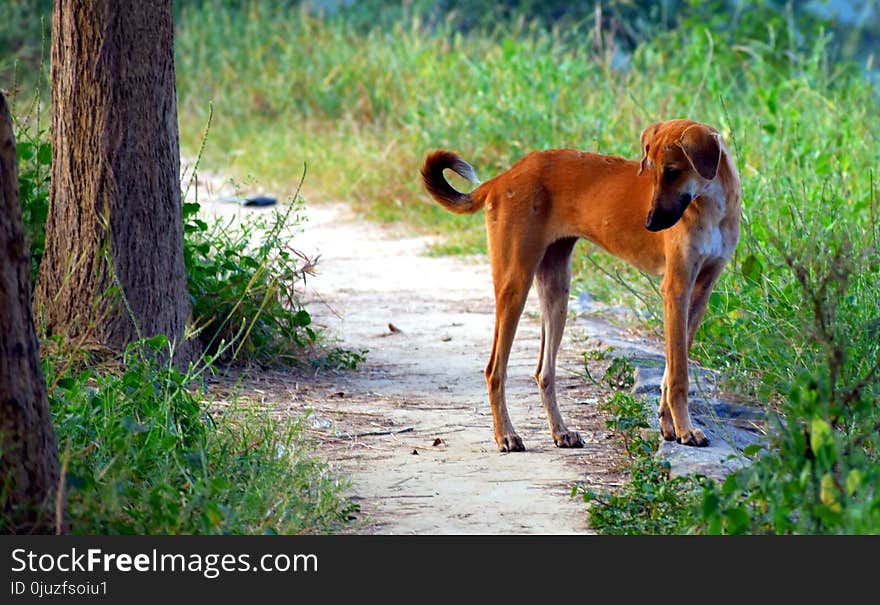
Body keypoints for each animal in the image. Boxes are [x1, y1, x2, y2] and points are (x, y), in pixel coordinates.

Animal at [422, 119, 740, 448]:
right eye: (651, 172)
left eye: (673, 171)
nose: (650, 224)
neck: (710, 206)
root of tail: (502, 178)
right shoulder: (676, 289)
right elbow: (678, 375)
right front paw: (685, 429)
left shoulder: (700, 292)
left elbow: (671, 369)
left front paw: (669, 425)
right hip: (515, 284)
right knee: (494, 370)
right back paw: (506, 435)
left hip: (556, 290)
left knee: (544, 372)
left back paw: (560, 431)